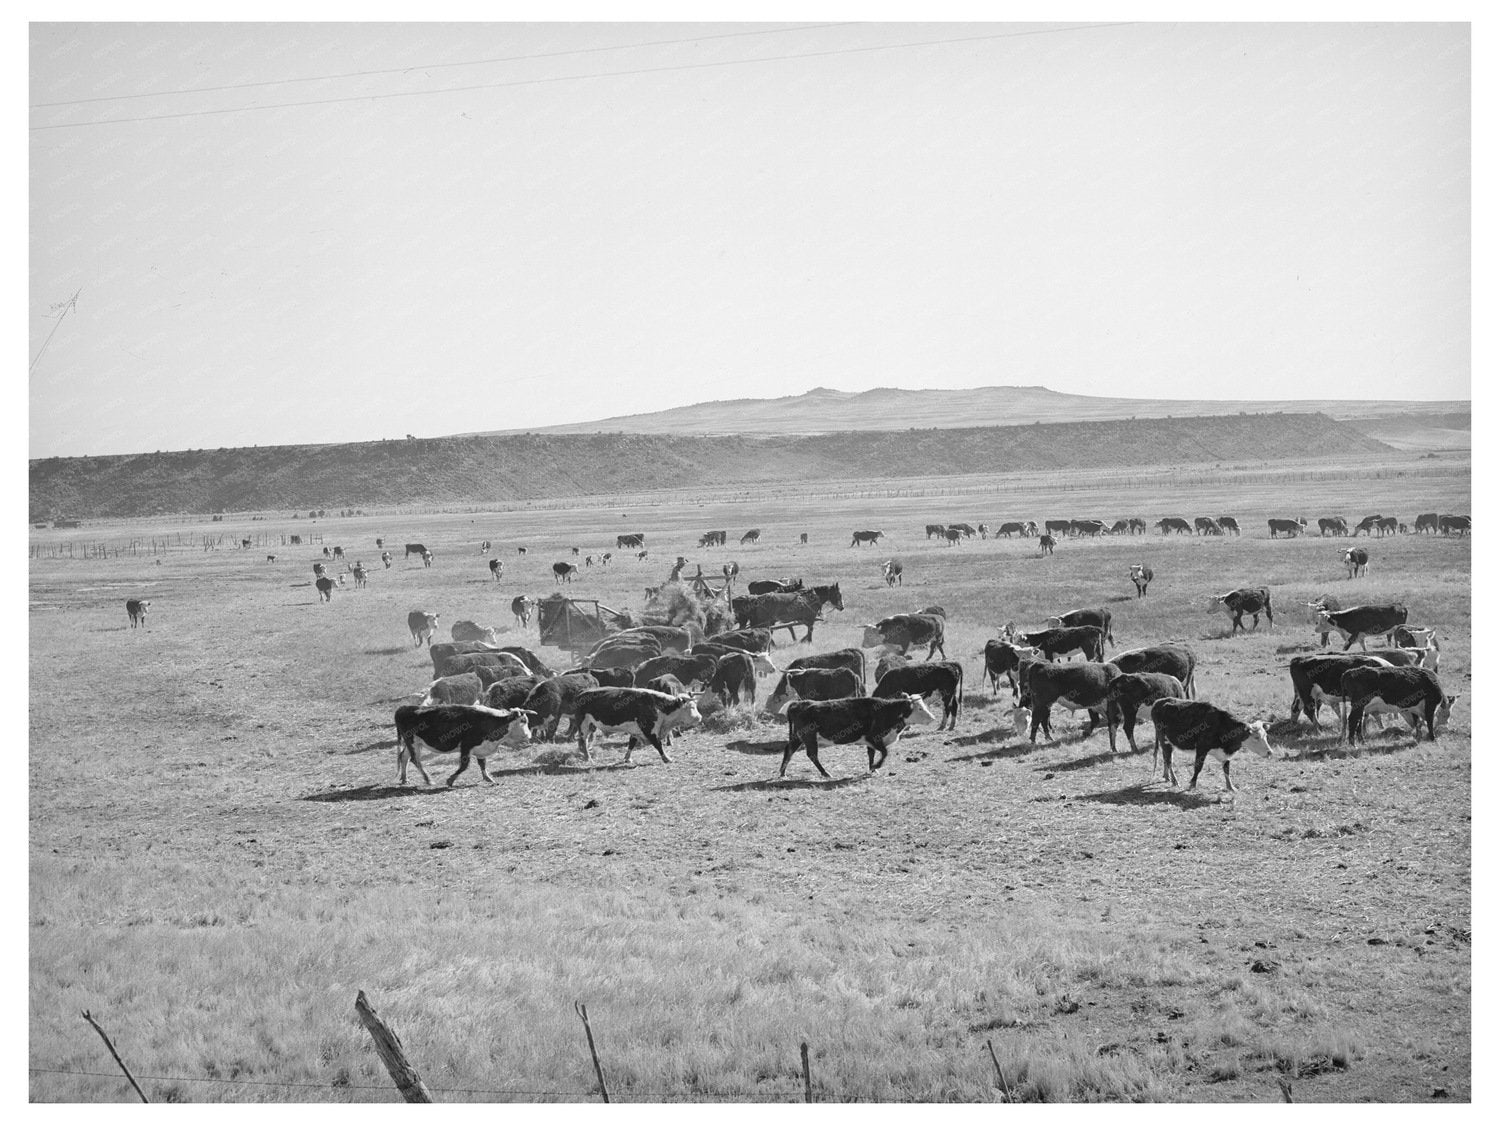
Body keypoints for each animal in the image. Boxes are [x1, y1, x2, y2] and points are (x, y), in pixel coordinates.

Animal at [394, 704, 534, 787]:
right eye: (523, 721)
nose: (529, 735)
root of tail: (403, 708)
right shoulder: (466, 746)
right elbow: (464, 766)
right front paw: (450, 780)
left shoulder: (481, 748)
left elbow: (482, 764)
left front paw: (488, 778)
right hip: (412, 741)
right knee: (415, 760)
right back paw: (428, 779)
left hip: (414, 743)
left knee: (404, 757)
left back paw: (404, 779)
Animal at [573, 688, 703, 764]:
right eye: (691, 707)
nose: (700, 717)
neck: (658, 706)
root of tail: (580, 694)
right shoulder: (649, 730)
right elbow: (658, 745)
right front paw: (666, 758)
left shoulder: (636, 730)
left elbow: (631, 743)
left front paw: (627, 758)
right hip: (583, 724)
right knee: (583, 740)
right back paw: (588, 758)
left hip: (591, 726)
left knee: (583, 741)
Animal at [779, 694, 938, 778]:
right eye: (919, 708)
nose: (933, 718)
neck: (886, 711)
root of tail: (796, 704)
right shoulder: (874, 738)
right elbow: (885, 753)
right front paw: (876, 766)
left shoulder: (871, 743)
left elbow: (871, 754)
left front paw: (873, 768)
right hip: (809, 738)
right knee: (812, 755)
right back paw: (825, 773)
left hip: (798, 737)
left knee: (789, 750)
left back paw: (782, 773)